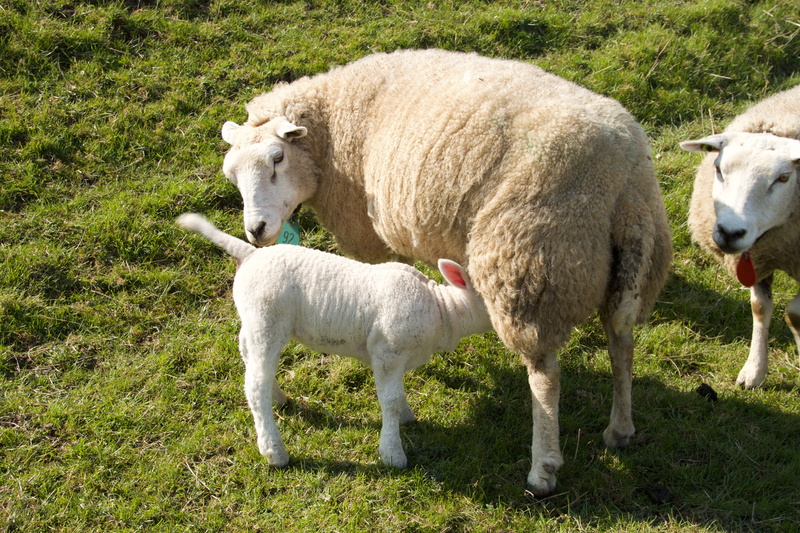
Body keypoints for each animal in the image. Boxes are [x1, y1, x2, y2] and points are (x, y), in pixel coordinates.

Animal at [177, 212, 493, 469]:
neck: (441, 309)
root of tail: (252, 255)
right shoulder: (387, 352)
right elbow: (389, 400)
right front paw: (392, 452)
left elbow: (397, 394)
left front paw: (405, 416)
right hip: (267, 319)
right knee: (255, 385)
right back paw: (274, 451)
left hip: (253, 319)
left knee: (248, 356)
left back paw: (278, 397)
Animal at [218, 49, 672, 495]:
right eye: (231, 174)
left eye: (277, 158)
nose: (256, 230)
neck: (331, 125)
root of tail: (623, 178)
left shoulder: (367, 234)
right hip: (629, 269)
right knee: (621, 341)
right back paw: (620, 428)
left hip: (530, 265)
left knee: (545, 376)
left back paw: (542, 467)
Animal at [680, 84, 800, 389]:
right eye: (718, 168)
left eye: (783, 178)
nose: (730, 233)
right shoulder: (759, 258)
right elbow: (760, 308)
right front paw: (754, 371)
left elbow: (794, 311)